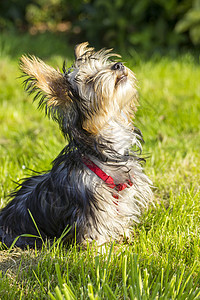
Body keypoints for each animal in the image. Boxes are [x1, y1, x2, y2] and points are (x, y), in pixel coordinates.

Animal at [0, 42, 153, 248]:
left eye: (106, 65)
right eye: (89, 80)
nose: (118, 65)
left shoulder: (123, 195)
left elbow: (120, 215)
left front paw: (125, 235)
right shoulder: (91, 207)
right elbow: (95, 232)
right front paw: (101, 252)